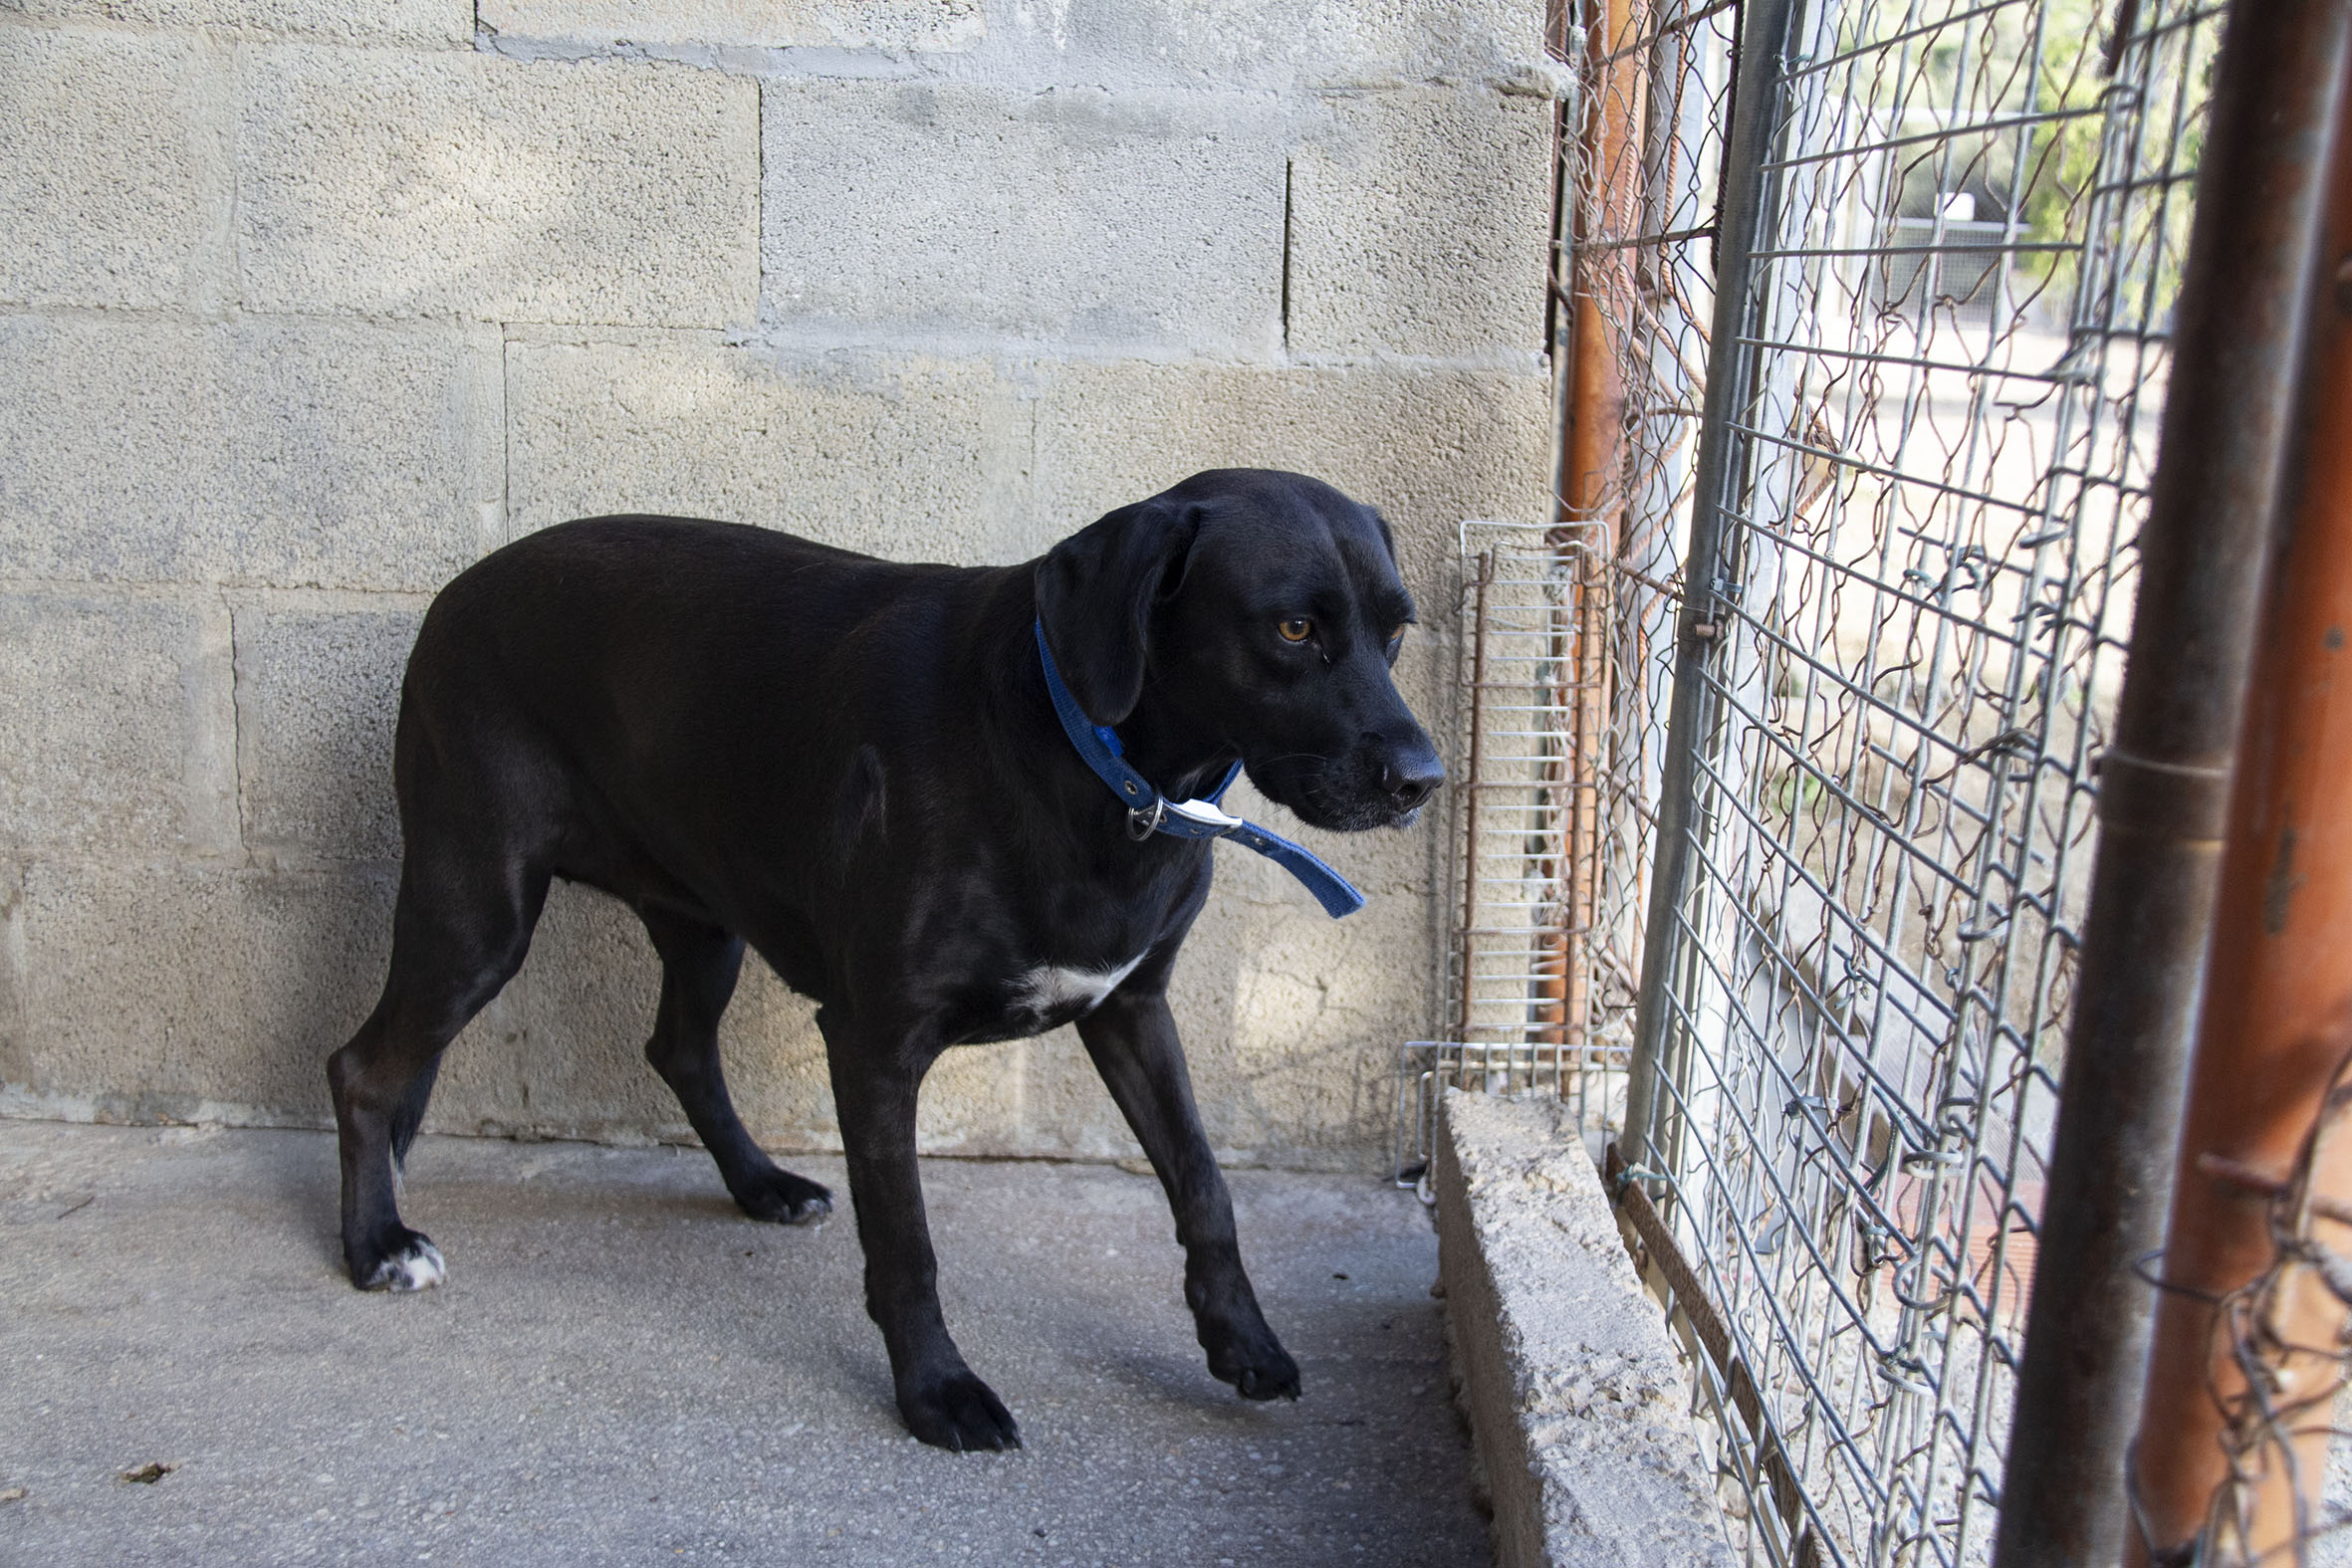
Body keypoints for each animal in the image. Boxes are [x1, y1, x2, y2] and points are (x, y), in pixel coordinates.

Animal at [327, 467, 1444, 1451]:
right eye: (1292, 628)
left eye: (1397, 630)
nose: (1424, 781)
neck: (1096, 768)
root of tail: (455, 592)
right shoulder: (874, 1041)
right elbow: (906, 1242)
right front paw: (938, 1393)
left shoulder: (1134, 1009)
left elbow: (1205, 1184)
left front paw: (1242, 1341)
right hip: (476, 911)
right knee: (361, 1068)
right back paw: (375, 1245)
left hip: (703, 919)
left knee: (678, 1050)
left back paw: (763, 1186)